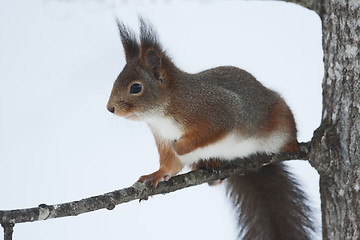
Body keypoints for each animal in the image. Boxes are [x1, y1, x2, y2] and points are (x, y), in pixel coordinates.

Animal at [107, 18, 312, 240]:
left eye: (136, 87)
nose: (110, 108)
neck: (162, 113)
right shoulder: (162, 137)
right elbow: (170, 164)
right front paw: (157, 174)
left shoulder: (220, 110)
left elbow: (209, 133)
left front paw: (182, 146)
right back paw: (209, 164)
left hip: (280, 116)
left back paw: (291, 145)